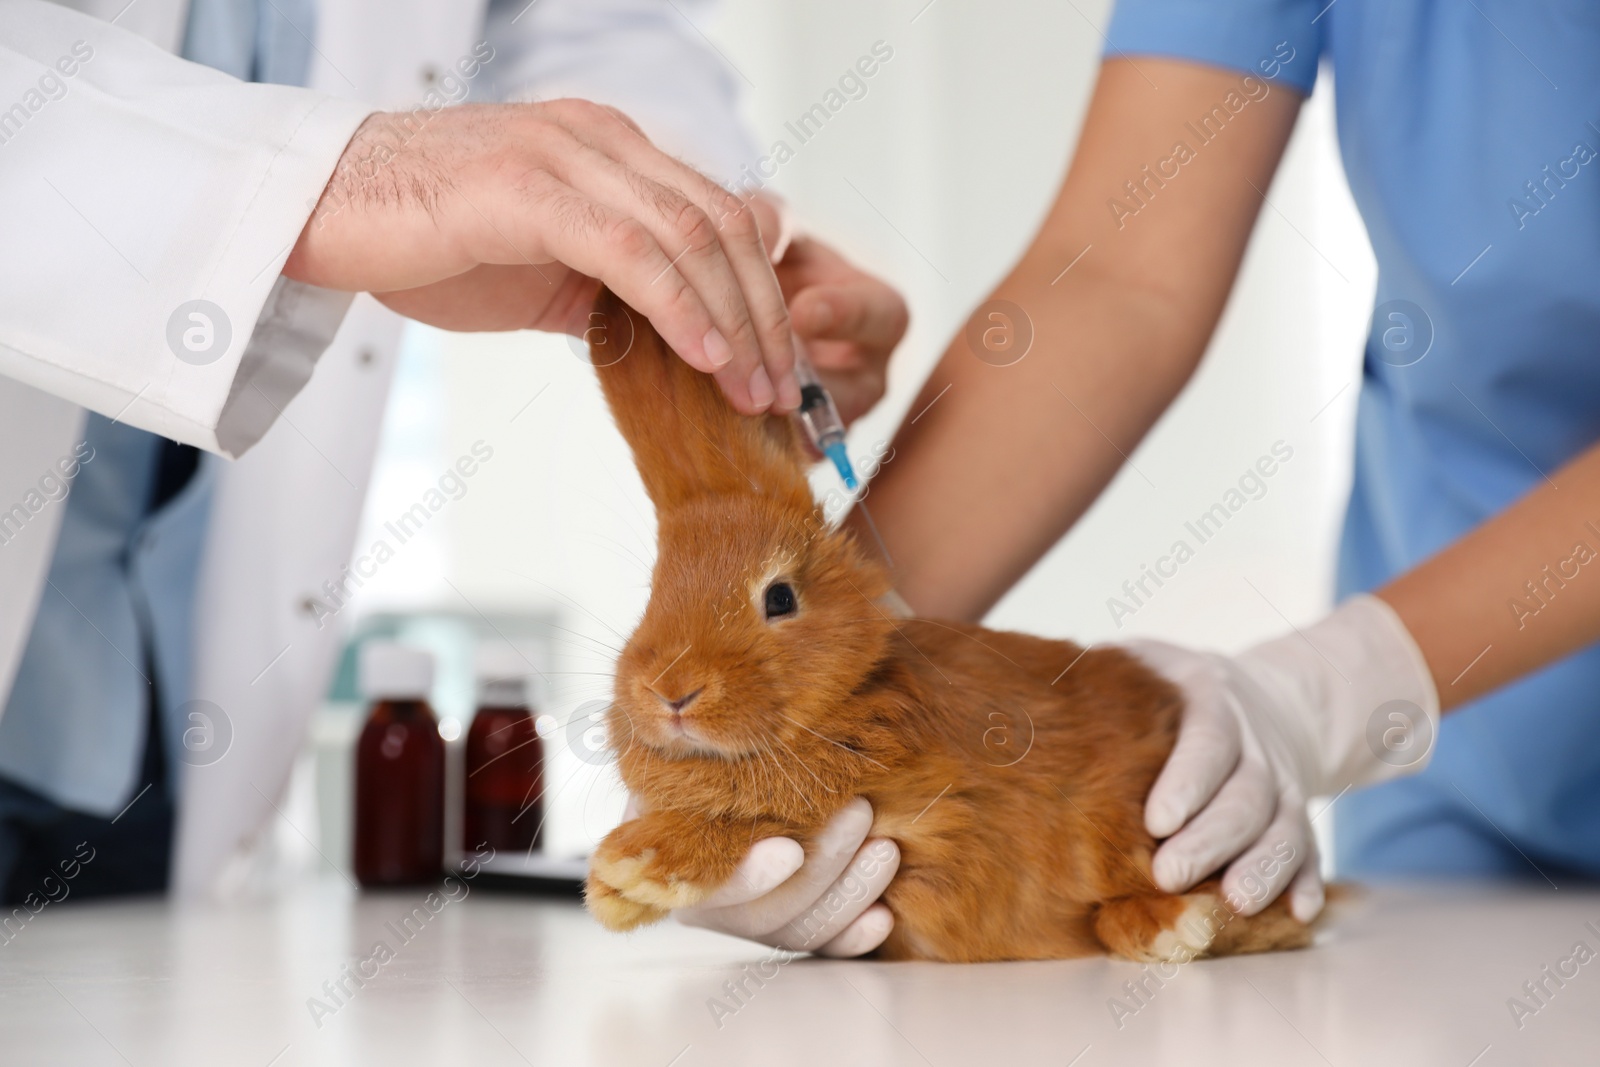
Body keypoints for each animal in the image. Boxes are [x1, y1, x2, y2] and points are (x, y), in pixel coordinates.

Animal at [582, 287, 1318, 966]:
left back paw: (1172, 924)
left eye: (781, 597)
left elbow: (770, 829)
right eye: (655, 591)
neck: (851, 692)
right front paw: (613, 893)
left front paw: (638, 861)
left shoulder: (888, 810)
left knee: (1269, 912)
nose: (669, 692)